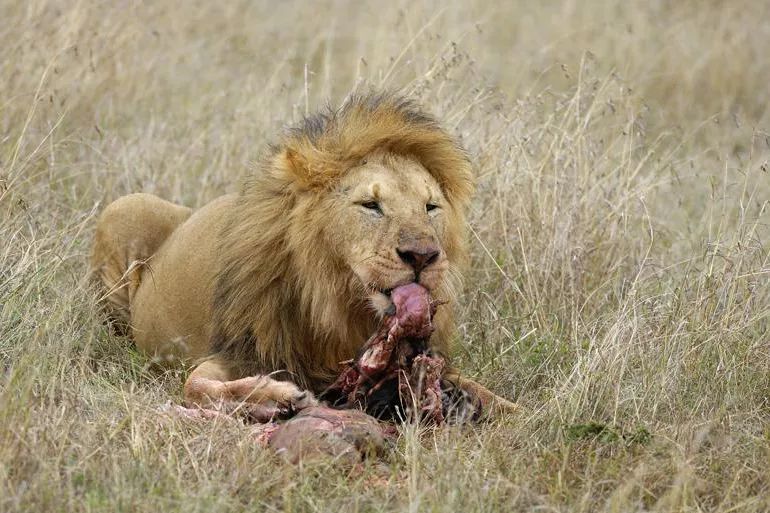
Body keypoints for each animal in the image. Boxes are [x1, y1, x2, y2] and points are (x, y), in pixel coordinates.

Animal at [91, 92, 516, 418]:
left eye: (430, 207)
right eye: (370, 205)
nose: (423, 256)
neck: (340, 307)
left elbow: (496, 398)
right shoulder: (238, 352)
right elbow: (197, 386)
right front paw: (278, 399)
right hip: (124, 208)